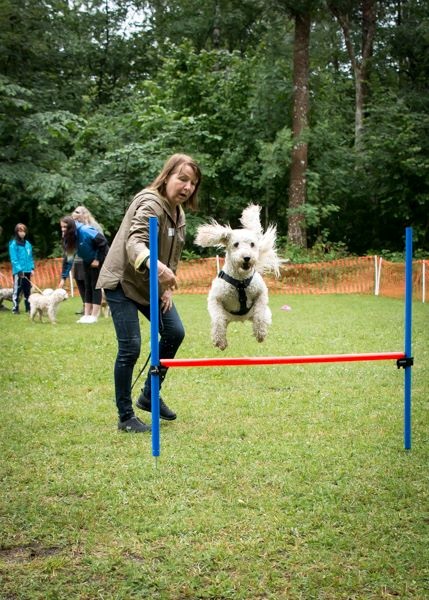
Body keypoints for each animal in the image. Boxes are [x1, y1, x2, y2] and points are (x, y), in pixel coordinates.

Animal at [195, 204, 280, 350]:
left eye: (252, 244)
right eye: (235, 244)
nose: (247, 257)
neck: (240, 282)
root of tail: (238, 319)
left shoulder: (261, 293)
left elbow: (259, 313)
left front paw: (260, 333)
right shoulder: (215, 299)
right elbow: (218, 320)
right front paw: (220, 341)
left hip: (262, 314)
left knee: (264, 316)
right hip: (227, 317)